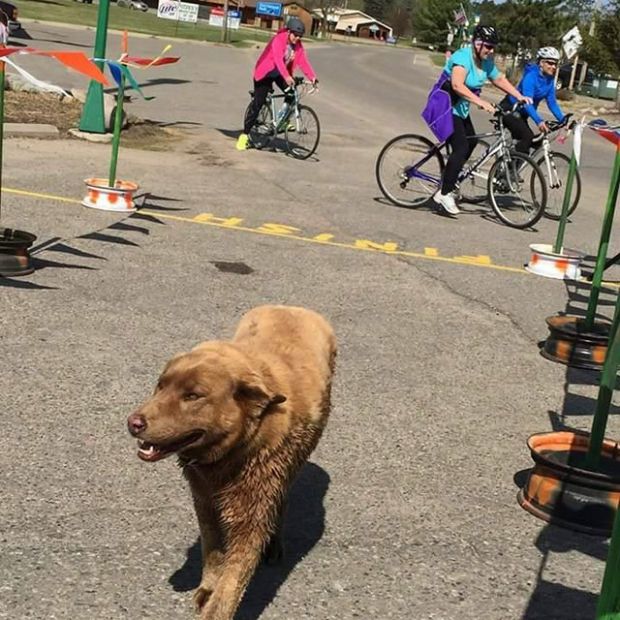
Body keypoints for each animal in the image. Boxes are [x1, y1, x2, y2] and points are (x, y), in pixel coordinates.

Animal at [126, 306, 336, 620]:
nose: (134, 423)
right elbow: (212, 547)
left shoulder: (254, 504)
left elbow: (234, 577)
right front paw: (207, 587)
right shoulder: (204, 499)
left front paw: (216, 607)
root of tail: (292, 307)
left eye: (193, 395)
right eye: (160, 386)